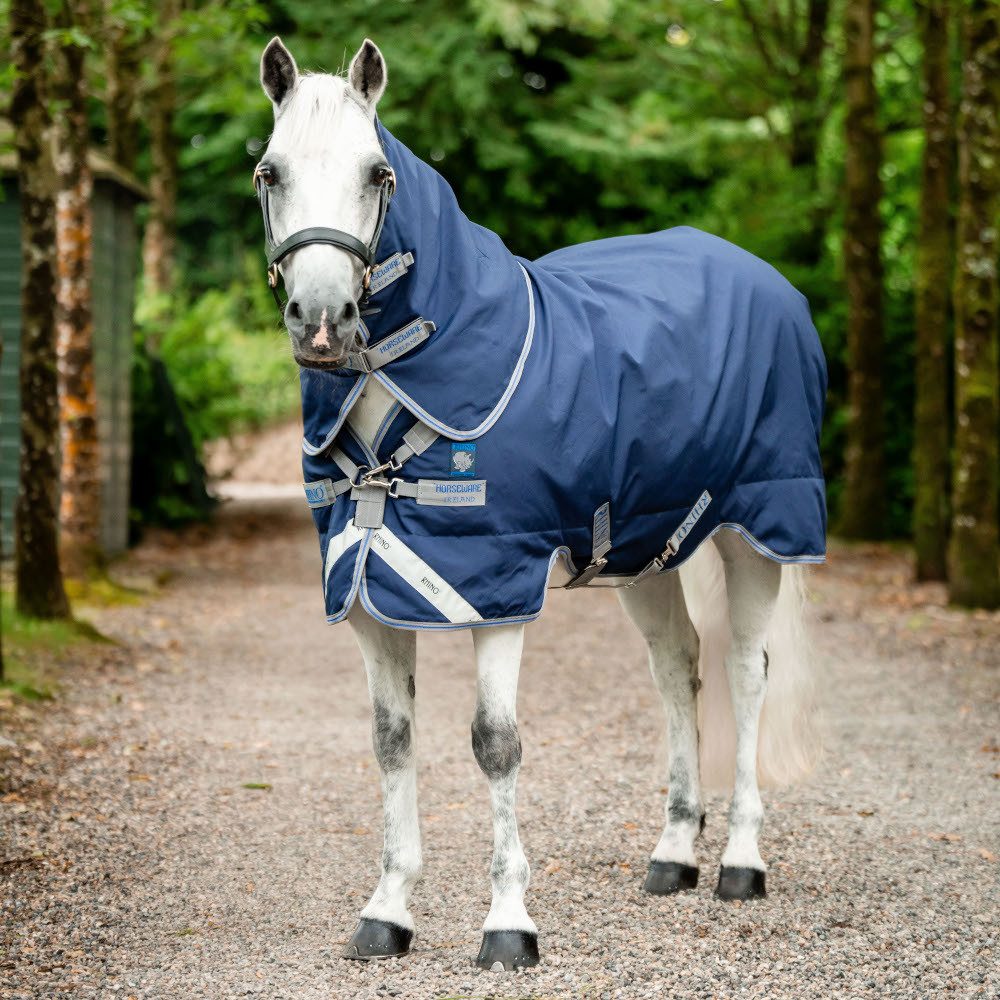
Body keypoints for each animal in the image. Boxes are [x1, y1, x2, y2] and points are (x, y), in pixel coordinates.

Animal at [253, 36, 826, 972]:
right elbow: (391, 740)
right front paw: (388, 911)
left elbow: (495, 744)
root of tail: (768, 280)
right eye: (271, 171)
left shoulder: (494, 590)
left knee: (747, 672)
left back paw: (742, 861)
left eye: (378, 173)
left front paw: (508, 924)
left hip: (758, 532)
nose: (324, 321)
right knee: (679, 668)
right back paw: (674, 854)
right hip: (645, 551)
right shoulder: (369, 592)